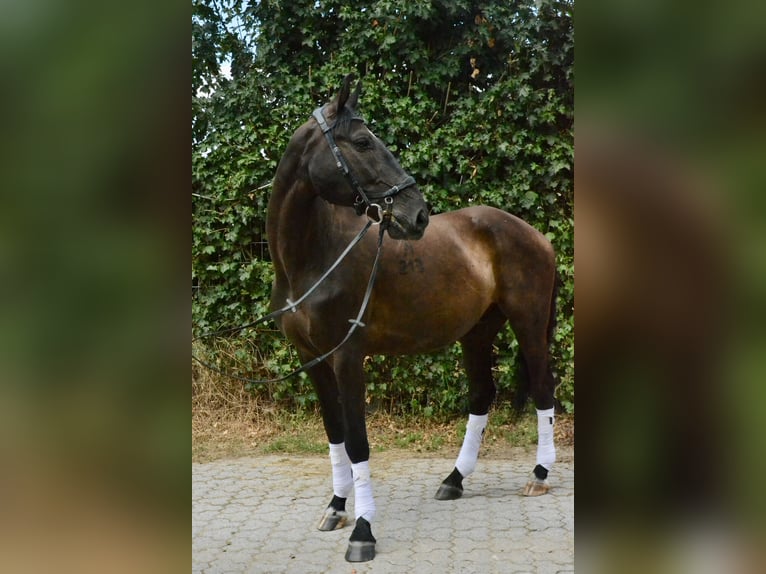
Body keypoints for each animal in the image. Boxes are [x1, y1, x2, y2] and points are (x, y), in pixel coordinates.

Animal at [266, 74, 559, 562]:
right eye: (363, 142)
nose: (417, 214)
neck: (313, 258)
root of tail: (536, 234)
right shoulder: (313, 360)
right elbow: (335, 434)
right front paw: (336, 507)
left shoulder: (347, 357)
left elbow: (359, 441)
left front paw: (363, 531)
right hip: (477, 333)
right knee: (482, 395)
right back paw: (454, 480)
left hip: (530, 324)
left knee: (543, 388)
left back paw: (538, 474)